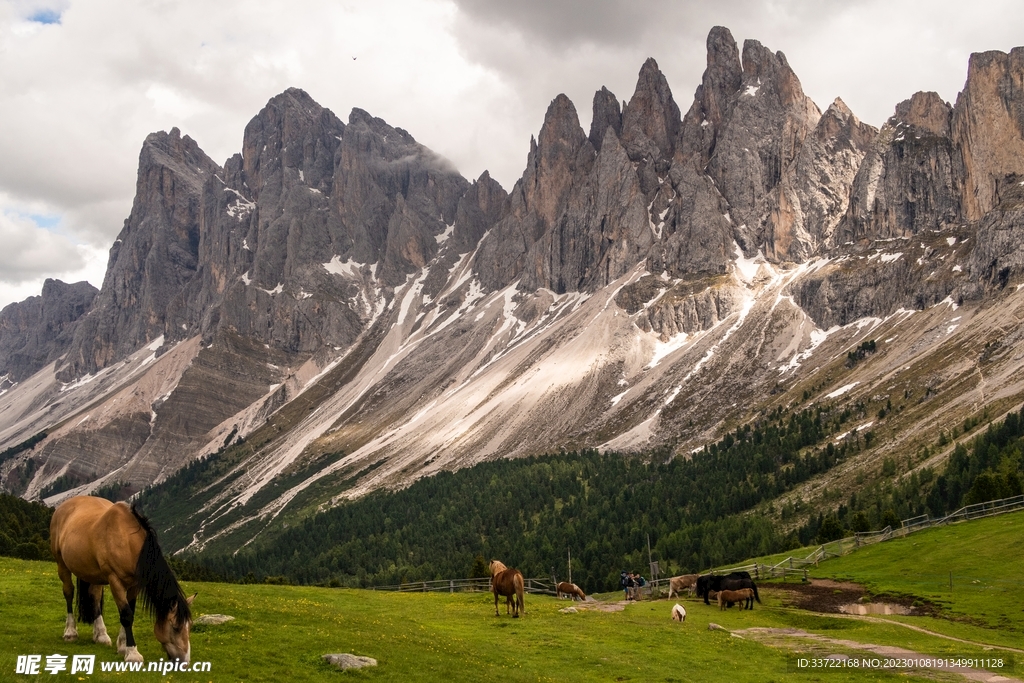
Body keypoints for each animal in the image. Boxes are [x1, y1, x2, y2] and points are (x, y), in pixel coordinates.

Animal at [50, 496, 194, 664]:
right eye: (175, 627)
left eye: (190, 626)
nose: (185, 661)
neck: (126, 541)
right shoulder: (115, 581)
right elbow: (126, 615)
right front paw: (132, 653)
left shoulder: (134, 585)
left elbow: (129, 611)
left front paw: (123, 645)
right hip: (62, 565)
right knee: (68, 592)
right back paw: (70, 632)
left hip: (94, 574)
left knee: (94, 597)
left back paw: (101, 635)